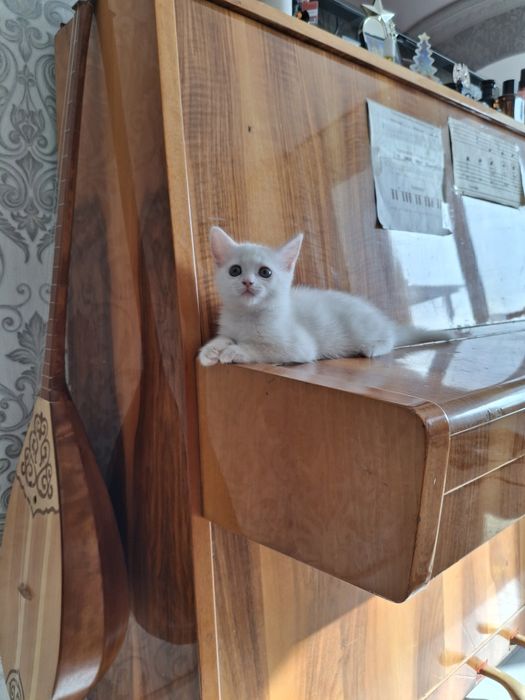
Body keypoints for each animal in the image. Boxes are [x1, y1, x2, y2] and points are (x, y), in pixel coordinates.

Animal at [198, 226, 453, 366]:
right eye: (235, 270)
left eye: (265, 272)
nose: (248, 282)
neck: (248, 315)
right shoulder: (230, 327)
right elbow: (224, 337)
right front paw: (211, 350)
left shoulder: (300, 347)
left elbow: (261, 348)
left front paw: (235, 351)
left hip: (362, 327)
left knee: (388, 339)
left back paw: (373, 347)